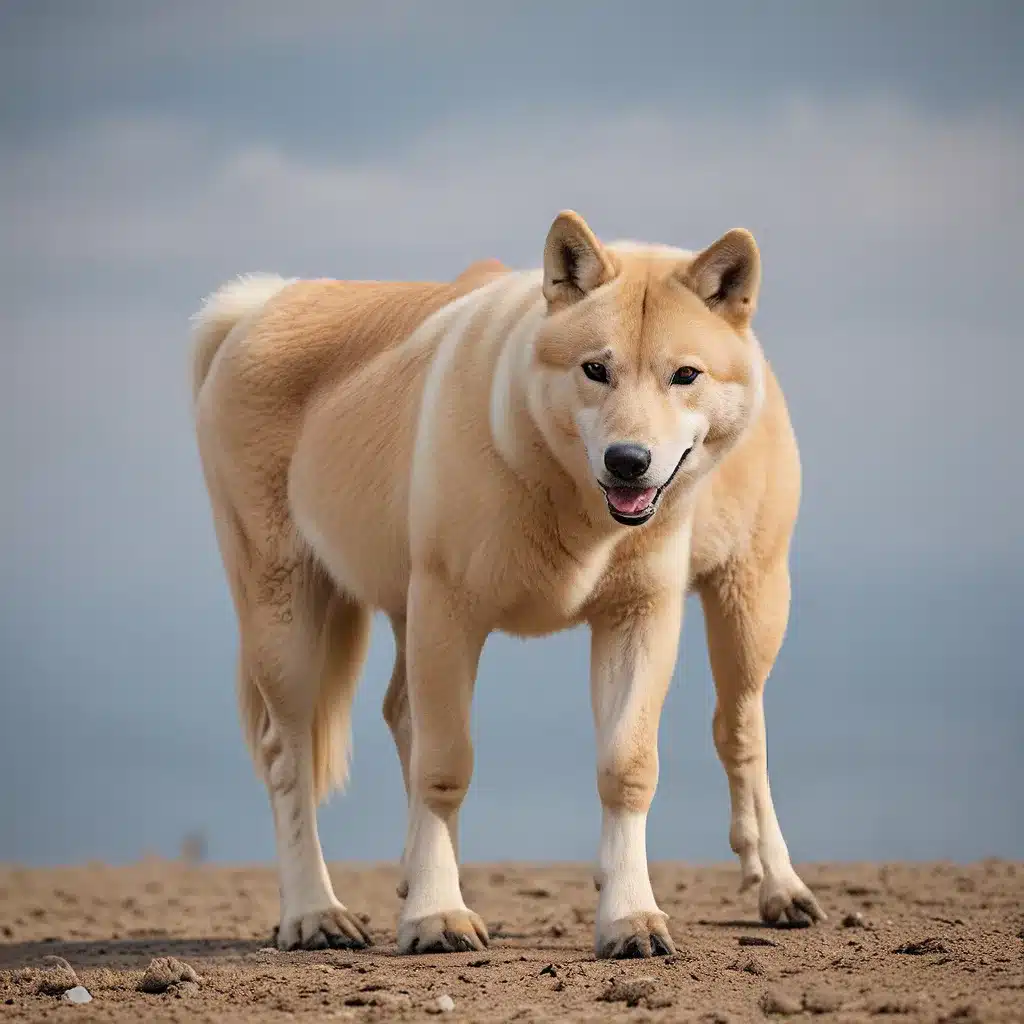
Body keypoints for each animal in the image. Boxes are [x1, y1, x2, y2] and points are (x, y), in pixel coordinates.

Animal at [192, 209, 827, 958]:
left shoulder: (639, 615)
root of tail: (259, 304)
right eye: (595, 369)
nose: (629, 461)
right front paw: (438, 917)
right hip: (285, 612)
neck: (573, 499)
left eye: (686, 374)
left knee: (741, 731)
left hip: (750, 597)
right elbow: (443, 766)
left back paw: (780, 888)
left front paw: (631, 919)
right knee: (288, 754)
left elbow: (627, 767)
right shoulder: (447, 610)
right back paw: (316, 914)